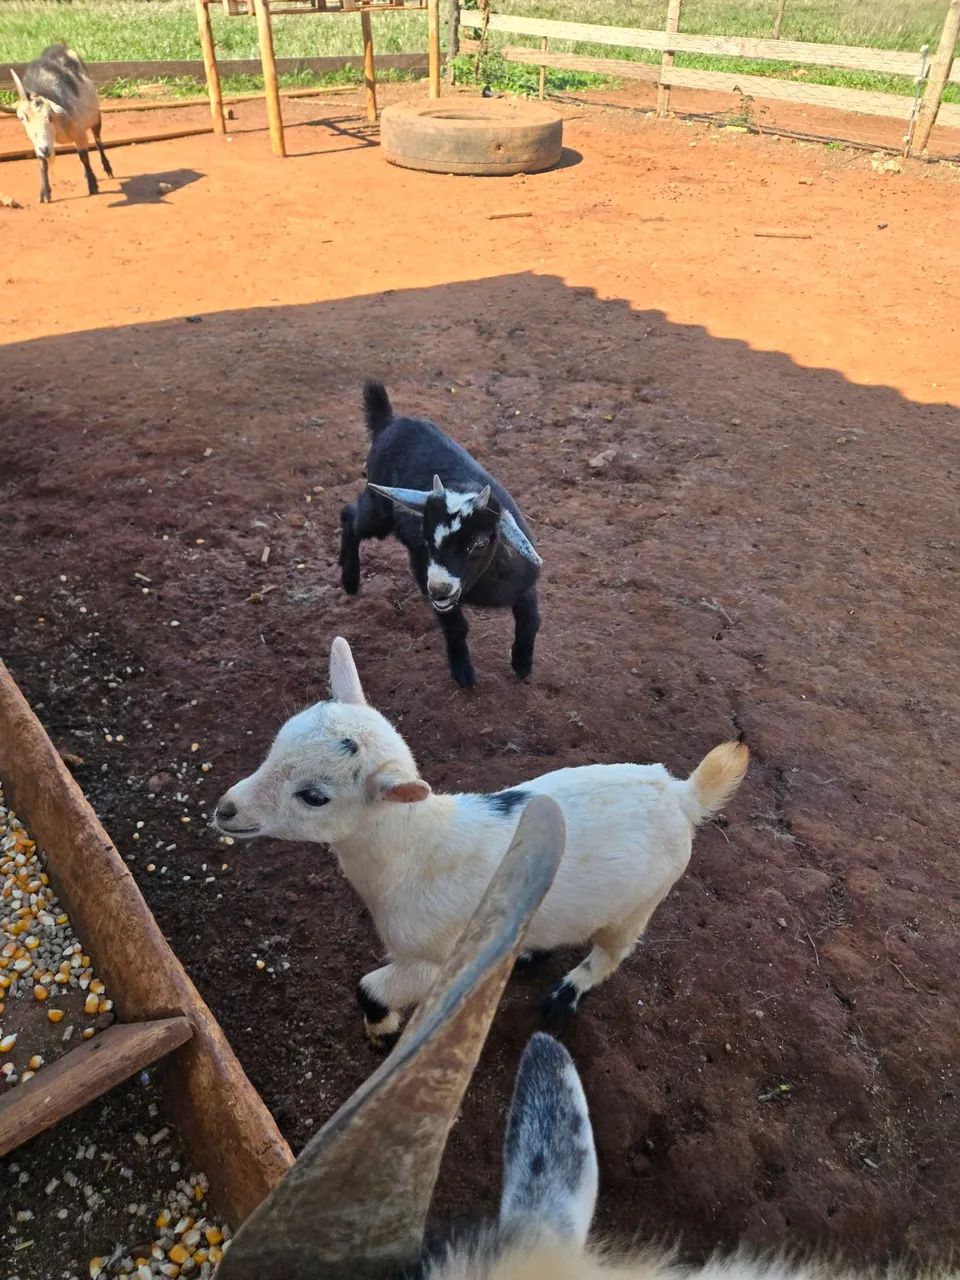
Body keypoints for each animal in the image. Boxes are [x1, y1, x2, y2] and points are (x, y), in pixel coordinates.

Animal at [11, 45, 113, 204]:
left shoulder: (78, 132)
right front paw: (45, 193)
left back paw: (107, 169)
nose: (45, 149)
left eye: (49, 116)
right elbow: (42, 162)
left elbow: (84, 156)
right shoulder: (38, 143)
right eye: (23, 118)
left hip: (95, 118)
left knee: (98, 141)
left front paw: (93, 186)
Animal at [213, 636, 749, 1048]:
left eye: (314, 797)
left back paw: (566, 993)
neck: (417, 852)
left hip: (639, 902)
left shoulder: (437, 960)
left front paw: (381, 1035)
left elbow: (370, 989)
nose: (225, 810)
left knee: (613, 952)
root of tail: (682, 794)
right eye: (275, 744)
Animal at [339, 381, 543, 689]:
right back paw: (349, 579)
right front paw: (463, 673)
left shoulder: (524, 581)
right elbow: (457, 627)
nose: (439, 588)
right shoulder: (423, 571)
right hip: (379, 511)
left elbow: (531, 619)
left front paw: (522, 664)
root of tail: (390, 422)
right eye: (425, 537)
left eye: (479, 544)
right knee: (350, 517)